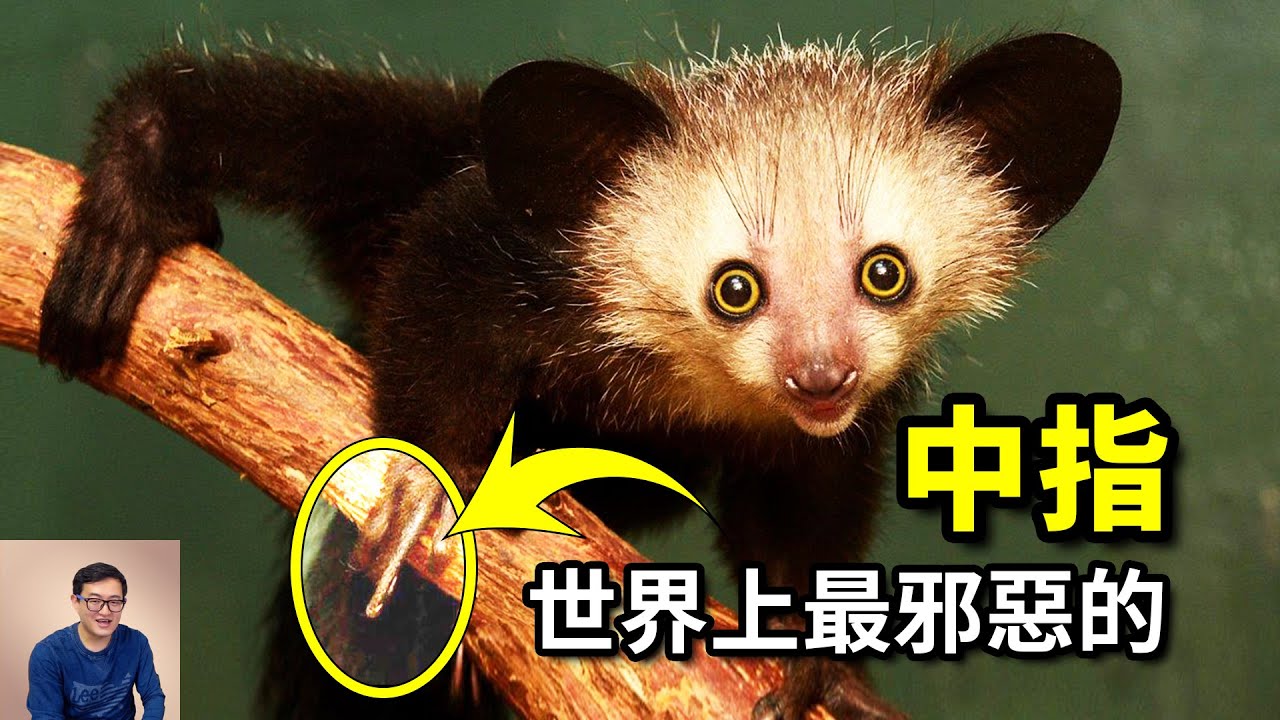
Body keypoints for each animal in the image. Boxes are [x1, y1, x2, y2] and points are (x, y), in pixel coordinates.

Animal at [35, 31, 1120, 719]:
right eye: (733, 288)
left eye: (883, 272)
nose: (820, 378)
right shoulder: (494, 242)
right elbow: (431, 276)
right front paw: (418, 496)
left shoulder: (823, 443)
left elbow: (800, 522)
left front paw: (819, 655)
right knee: (312, 125)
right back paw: (135, 182)